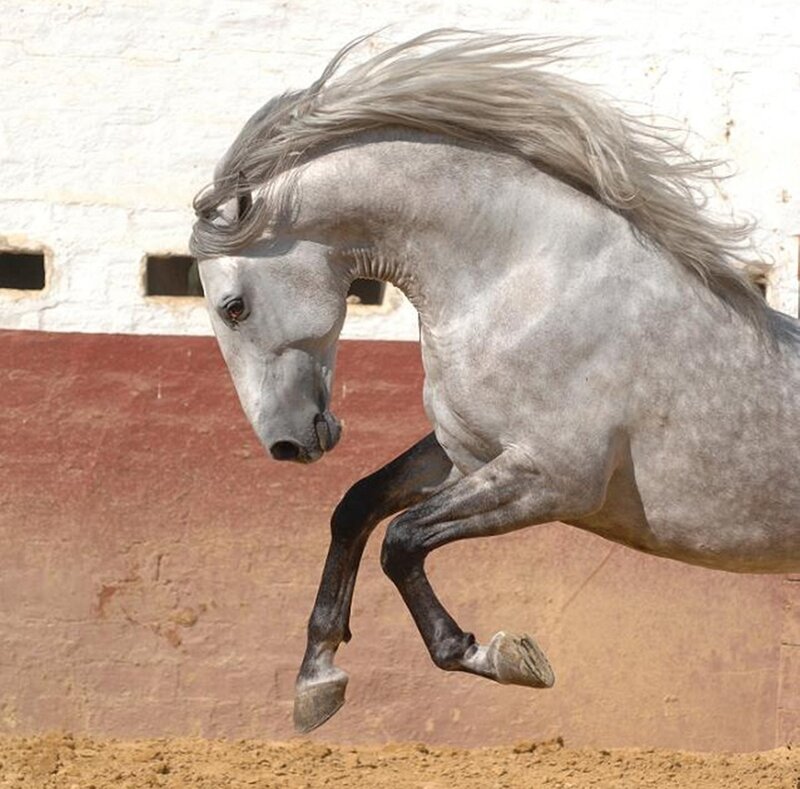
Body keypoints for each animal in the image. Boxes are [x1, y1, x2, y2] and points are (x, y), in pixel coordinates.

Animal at [190, 31, 800, 734]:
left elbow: (402, 540)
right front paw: (317, 676)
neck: (522, 282)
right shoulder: (467, 453)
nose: (286, 444)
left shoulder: (552, 480)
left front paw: (498, 655)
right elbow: (358, 506)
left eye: (233, 307)